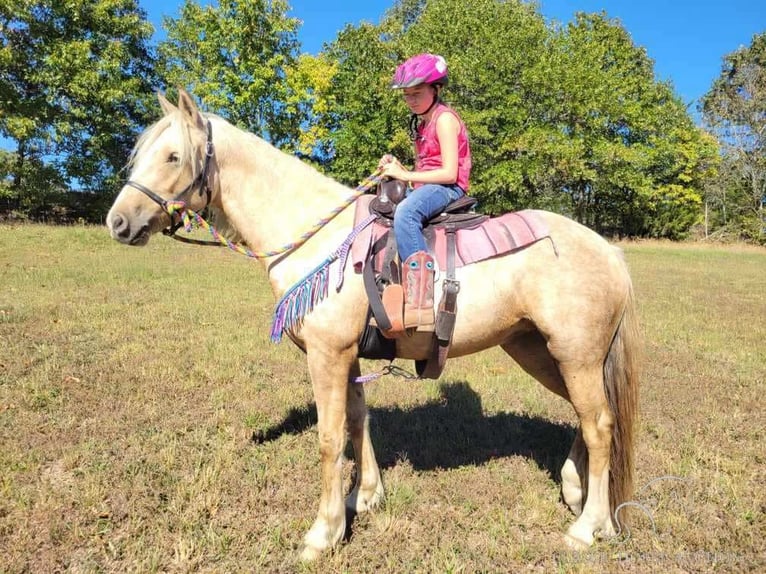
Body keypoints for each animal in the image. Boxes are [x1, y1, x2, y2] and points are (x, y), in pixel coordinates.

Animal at [105, 91, 640, 564]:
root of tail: (609, 250)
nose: (118, 222)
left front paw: (322, 534)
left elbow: (329, 438)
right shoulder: (348, 355)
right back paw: (576, 491)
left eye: (173, 155)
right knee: (589, 417)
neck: (321, 239)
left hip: (574, 354)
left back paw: (587, 528)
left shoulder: (328, 354)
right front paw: (363, 499)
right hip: (541, 351)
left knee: (600, 425)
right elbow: (358, 421)